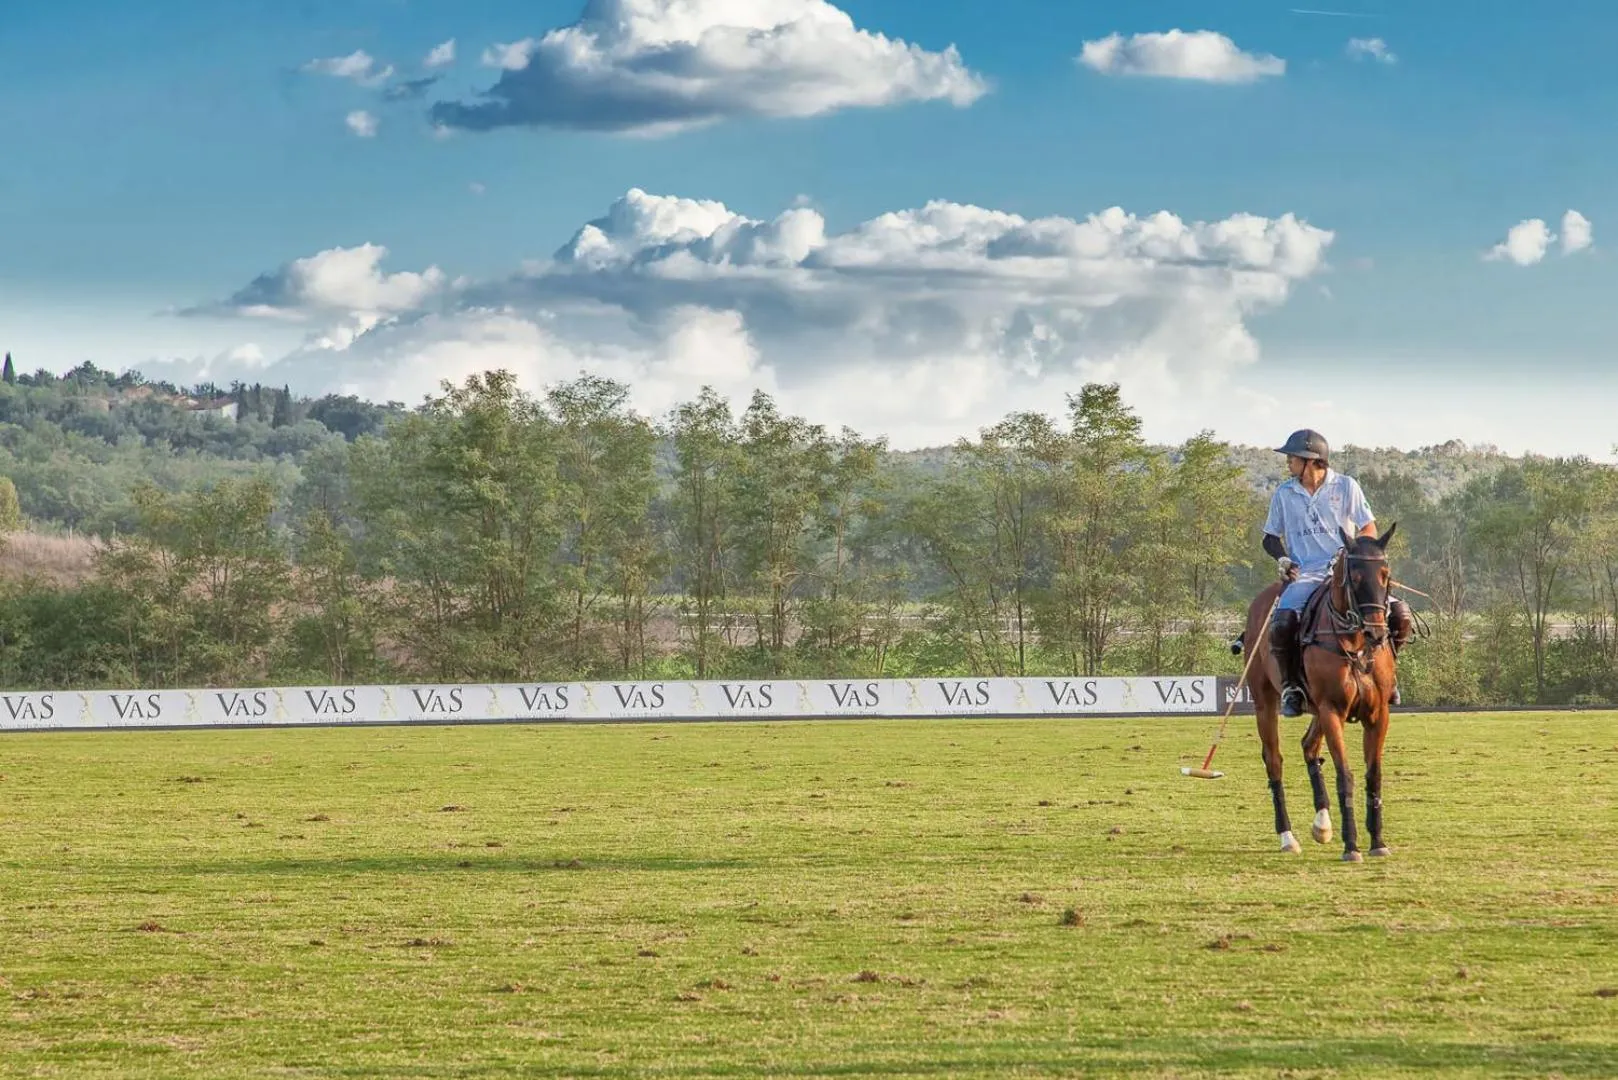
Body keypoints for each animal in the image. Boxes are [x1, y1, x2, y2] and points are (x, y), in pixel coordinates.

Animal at [1241, 524, 1400, 862]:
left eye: (1385, 574)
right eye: (1355, 577)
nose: (1377, 633)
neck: (1355, 643)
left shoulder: (1378, 713)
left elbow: (1373, 775)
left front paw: (1378, 842)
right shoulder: (1332, 710)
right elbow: (1345, 774)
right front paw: (1351, 846)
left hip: (1315, 708)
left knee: (1309, 747)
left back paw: (1322, 824)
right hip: (1265, 700)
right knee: (1274, 760)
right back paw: (1287, 837)